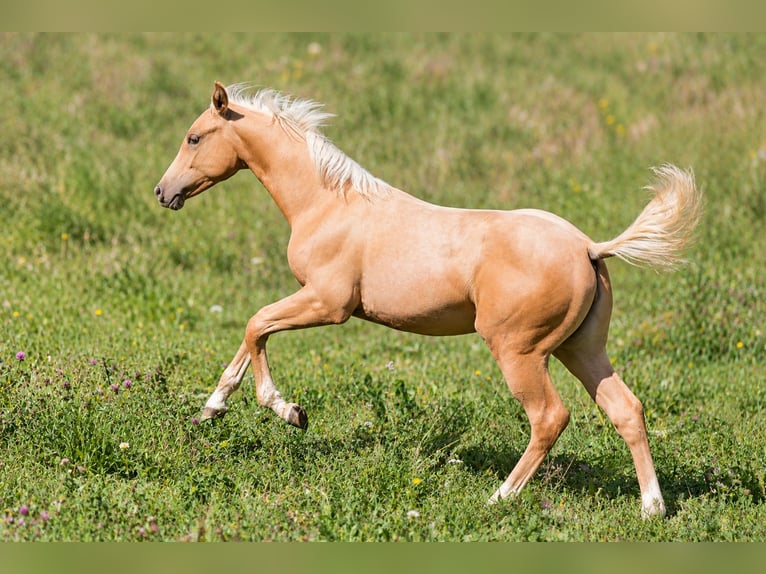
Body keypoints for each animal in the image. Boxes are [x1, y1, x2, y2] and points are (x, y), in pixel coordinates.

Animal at [154, 81, 702, 518]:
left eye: (194, 137)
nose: (163, 192)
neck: (328, 204)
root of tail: (589, 247)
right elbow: (254, 333)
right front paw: (212, 409)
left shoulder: (327, 304)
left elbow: (256, 324)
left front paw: (287, 410)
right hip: (582, 349)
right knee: (627, 409)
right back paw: (652, 508)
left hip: (519, 351)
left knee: (550, 418)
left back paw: (499, 498)